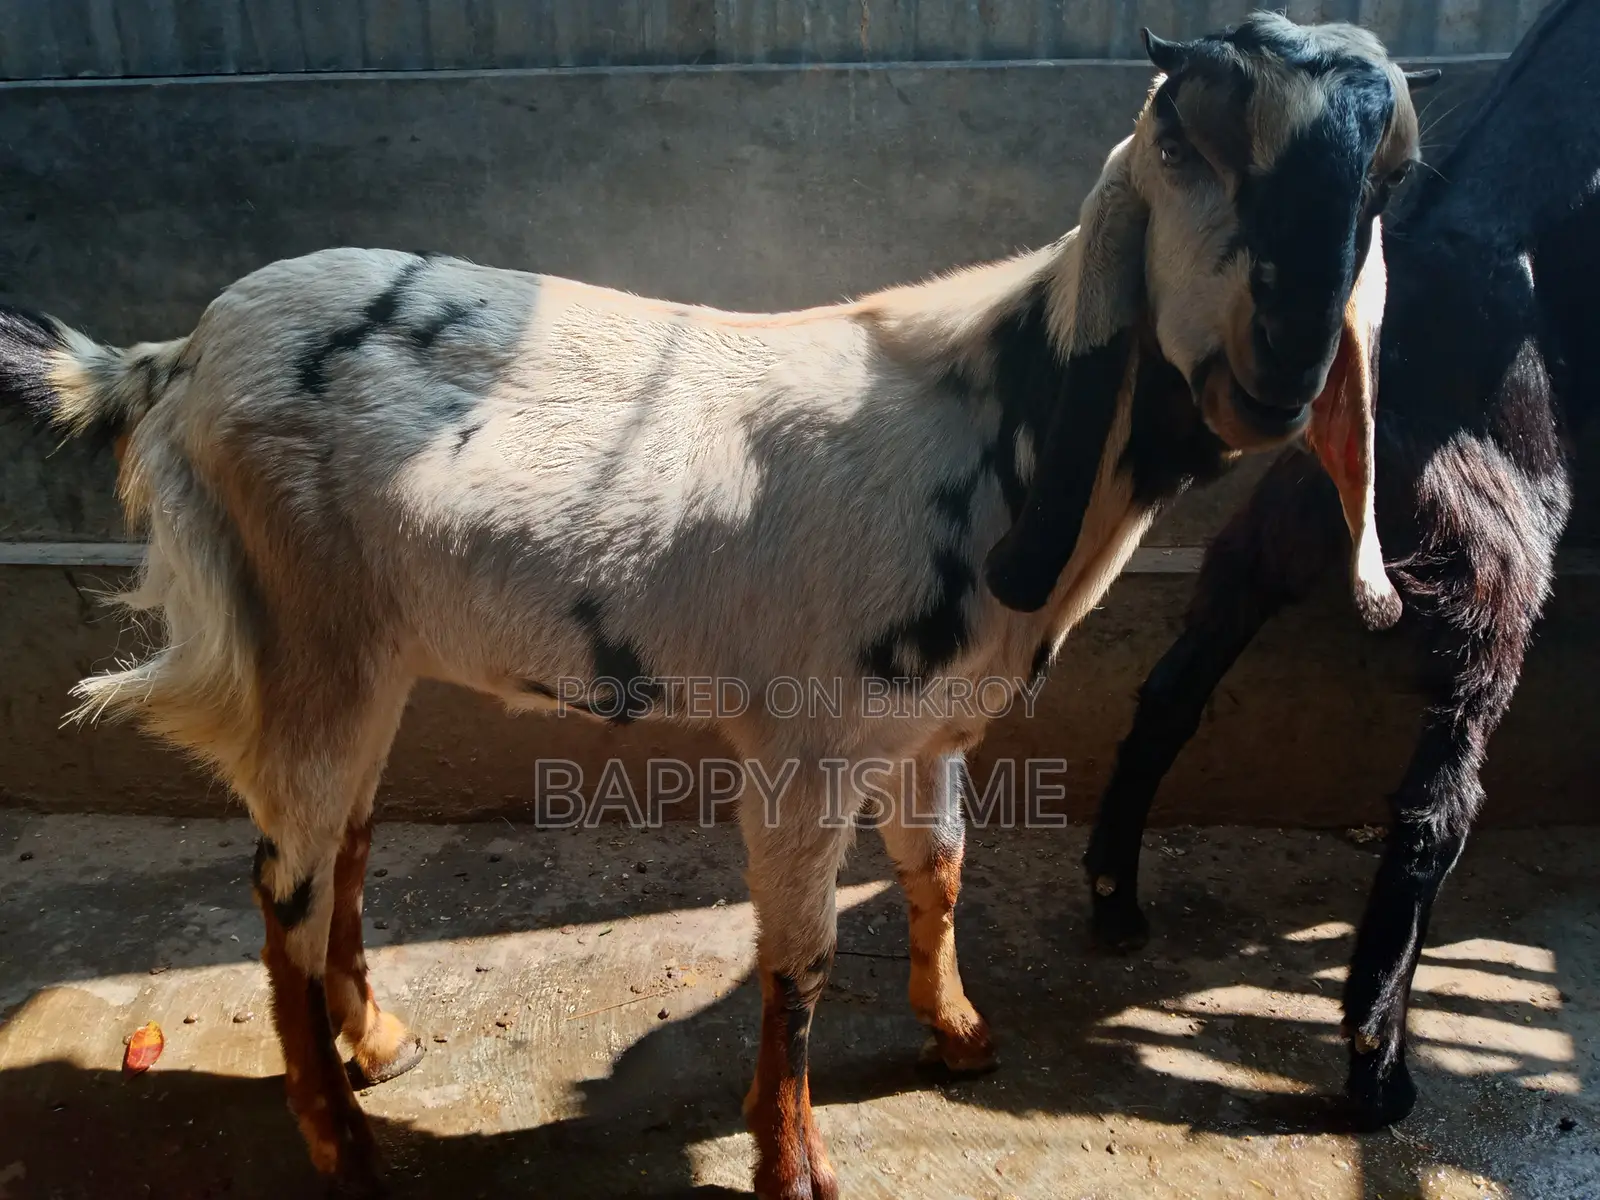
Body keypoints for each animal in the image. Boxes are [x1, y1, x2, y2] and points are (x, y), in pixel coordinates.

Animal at [0, 15, 1427, 1197]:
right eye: (1179, 145)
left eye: (1381, 186)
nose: (1281, 373)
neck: (995, 419)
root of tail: (173, 361)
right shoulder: (805, 740)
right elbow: (798, 957)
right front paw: (792, 1166)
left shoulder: (922, 729)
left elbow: (939, 871)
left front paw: (960, 1037)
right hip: (306, 636)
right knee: (283, 880)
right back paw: (345, 1147)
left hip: (369, 652)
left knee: (341, 846)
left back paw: (382, 1046)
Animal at [1083, 0, 1599, 1133]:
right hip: (1492, 583)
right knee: (1433, 805)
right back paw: (1376, 1064)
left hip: (1265, 543)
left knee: (1169, 692)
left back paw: (1112, 897)